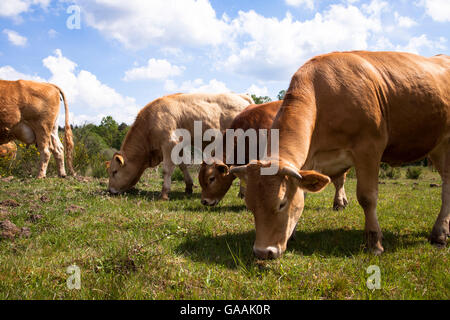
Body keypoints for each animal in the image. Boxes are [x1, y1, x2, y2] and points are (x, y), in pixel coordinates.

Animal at [106, 91, 253, 200]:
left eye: (114, 172)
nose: (110, 191)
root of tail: (243, 96)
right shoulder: (179, 145)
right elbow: (182, 165)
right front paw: (188, 187)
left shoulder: (169, 143)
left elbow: (166, 170)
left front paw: (164, 194)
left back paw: (242, 193)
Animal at [232, 50, 450, 260]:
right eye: (250, 205)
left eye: (281, 203)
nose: (262, 252)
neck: (323, 97)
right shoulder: (310, 161)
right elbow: (303, 193)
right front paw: (292, 233)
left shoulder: (369, 148)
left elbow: (367, 197)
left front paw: (374, 243)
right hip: (437, 147)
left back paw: (439, 234)